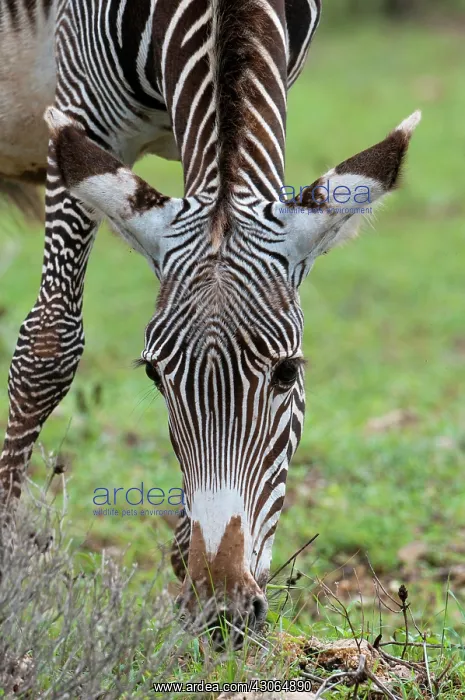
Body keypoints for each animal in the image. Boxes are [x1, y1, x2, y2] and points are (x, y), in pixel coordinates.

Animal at [0, 0, 420, 642]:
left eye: (288, 373)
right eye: (154, 376)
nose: (223, 612)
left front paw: (195, 568)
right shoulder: (82, 114)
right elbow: (49, 343)